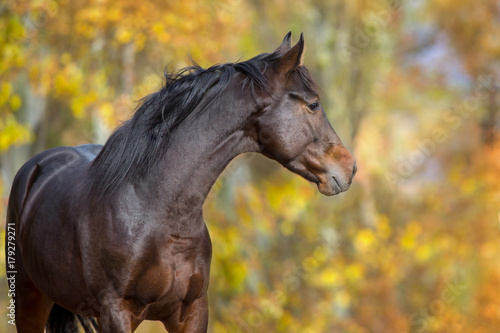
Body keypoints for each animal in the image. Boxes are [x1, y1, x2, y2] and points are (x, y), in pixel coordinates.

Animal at [3, 31, 356, 332]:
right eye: (313, 104)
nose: (349, 167)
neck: (156, 212)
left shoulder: (191, 311)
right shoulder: (116, 313)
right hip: (29, 300)